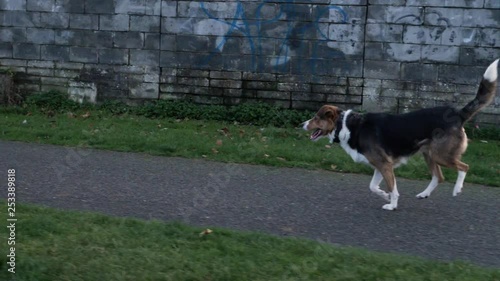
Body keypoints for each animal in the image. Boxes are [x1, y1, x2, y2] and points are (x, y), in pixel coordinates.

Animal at [302, 59, 498, 210]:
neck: (346, 125)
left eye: (316, 117)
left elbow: (393, 189)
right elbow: (373, 187)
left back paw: (457, 189)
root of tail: (457, 114)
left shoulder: (384, 165)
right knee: (439, 177)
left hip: (441, 155)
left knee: (464, 167)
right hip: (429, 154)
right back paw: (424, 194)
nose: (302, 124)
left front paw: (392, 205)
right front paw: (384, 195)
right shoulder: (380, 165)